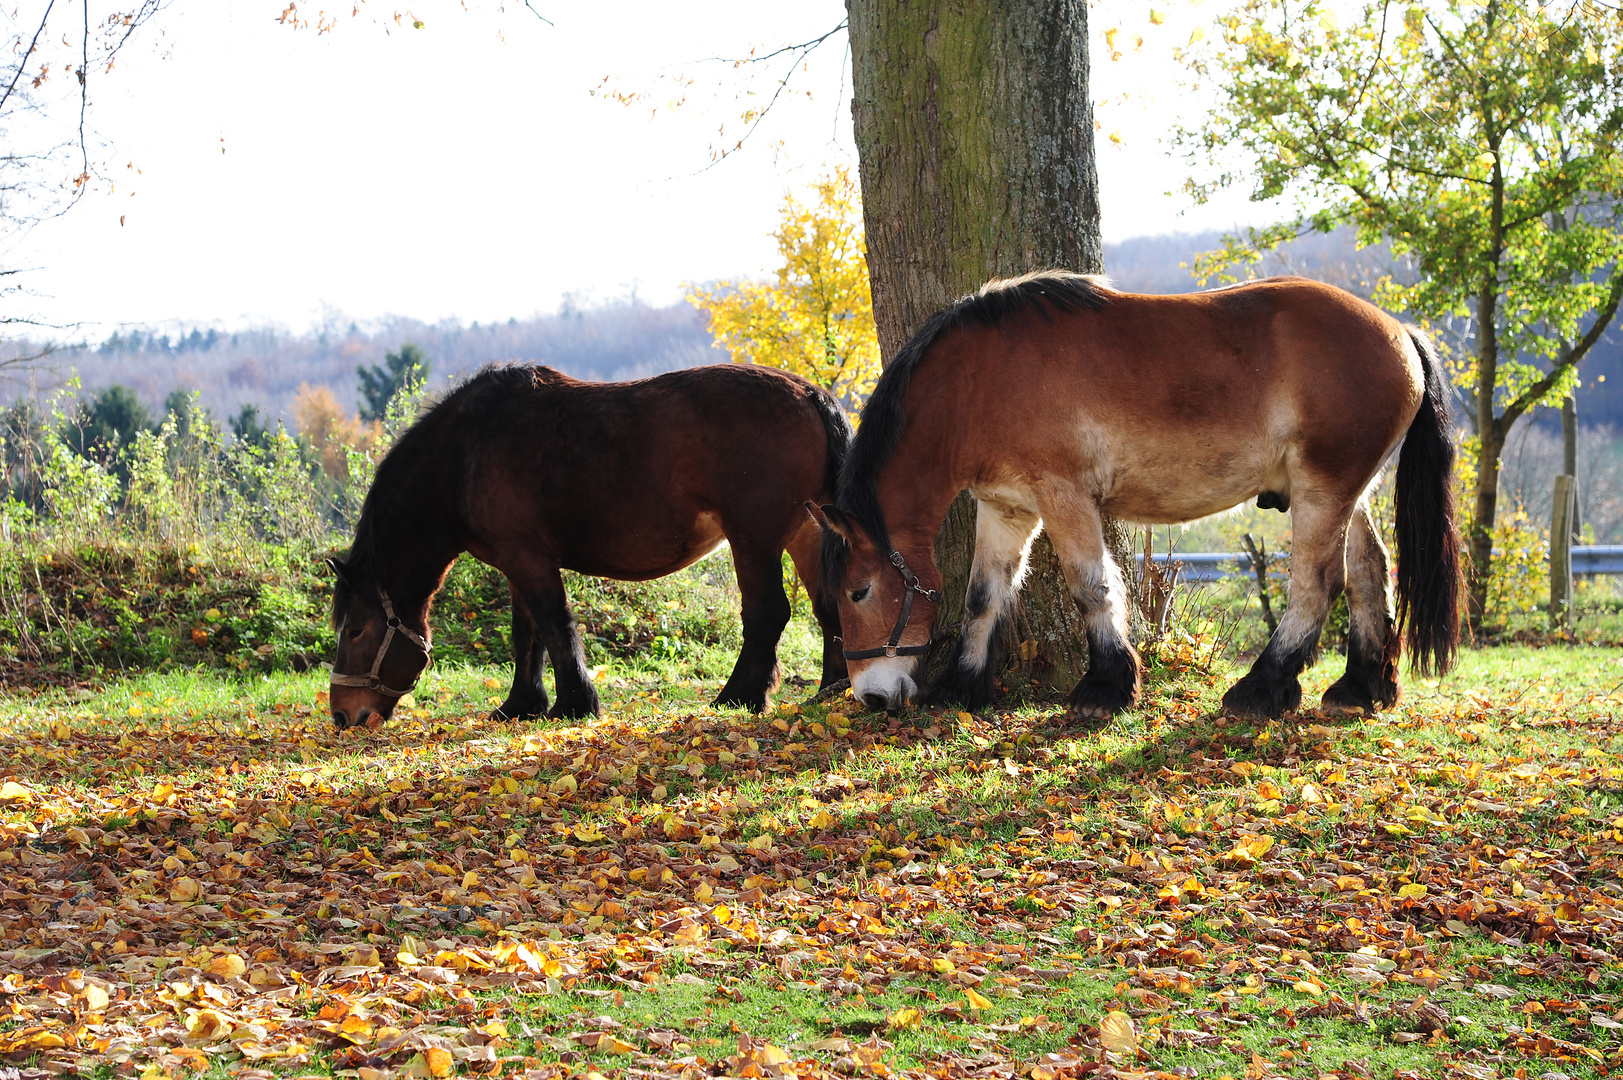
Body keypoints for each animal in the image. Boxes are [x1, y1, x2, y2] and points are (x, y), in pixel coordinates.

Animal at [817, 269, 1467, 721]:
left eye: (859, 591)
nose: (871, 696)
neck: (979, 383)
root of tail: (1401, 332)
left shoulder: (1064, 497)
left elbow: (1092, 585)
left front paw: (1106, 685)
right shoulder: (1006, 507)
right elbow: (983, 596)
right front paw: (962, 684)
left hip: (1321, 491)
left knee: (1316, 583)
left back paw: (1261, 688)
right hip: (1351, 493)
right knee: (1369, 573)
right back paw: (1361, 687)